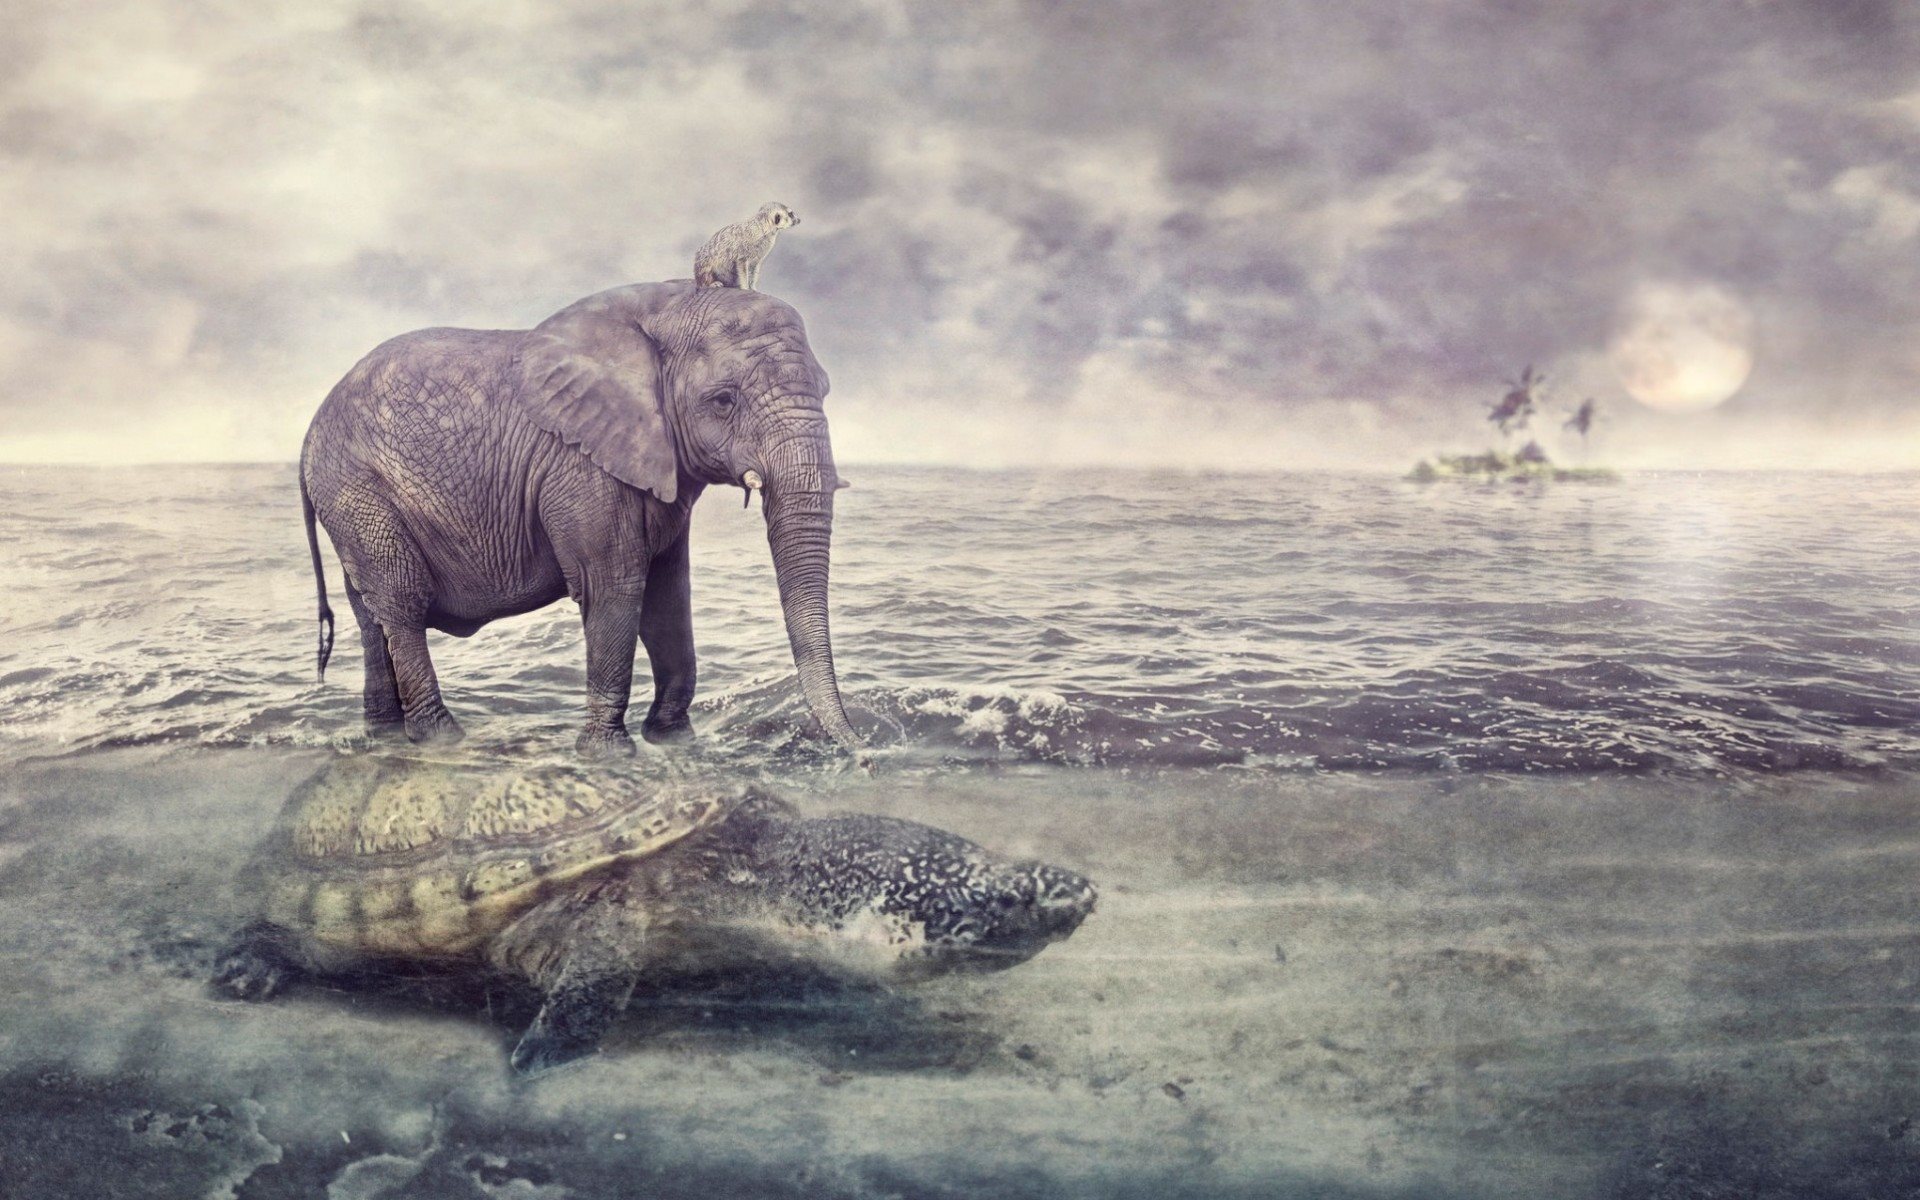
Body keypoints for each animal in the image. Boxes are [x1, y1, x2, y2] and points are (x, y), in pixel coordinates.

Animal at [297, 280, 862, 759]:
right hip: (357, 491)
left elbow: (667, 592)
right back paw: (443, 739)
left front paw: (674, 740)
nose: (862, 751)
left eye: (826, 390)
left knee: (371, 613)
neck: (668, 304)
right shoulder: (581, 468)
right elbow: (613, 585)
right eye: (724, 401)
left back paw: (384, 734)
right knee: (403, 602)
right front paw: (608, 754)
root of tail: (308, 432)